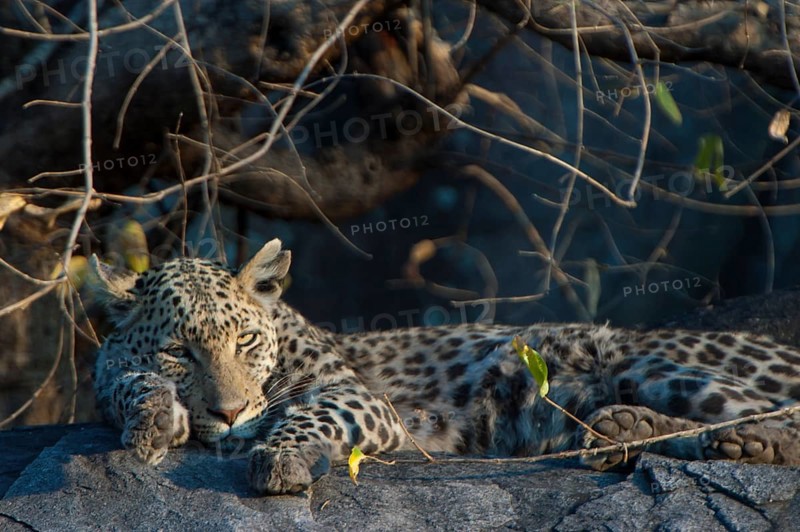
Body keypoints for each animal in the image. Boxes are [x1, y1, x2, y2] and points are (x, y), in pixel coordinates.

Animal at [90, 238, 800, 495]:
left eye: (243, 342)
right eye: (180, 351)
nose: (233, 412)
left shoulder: (361, 399)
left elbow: (306, 417)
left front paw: (280, 458)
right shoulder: (109, 373)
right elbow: (122, 379)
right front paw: (154, 419)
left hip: (655, 361)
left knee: (777, 419)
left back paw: (747, 442)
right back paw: (622, 431)